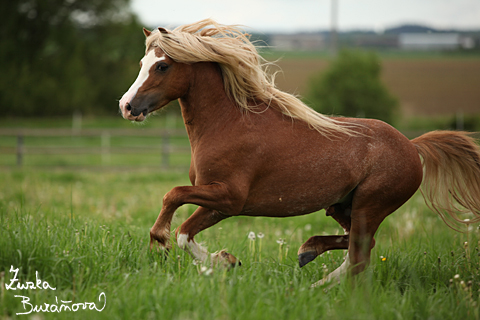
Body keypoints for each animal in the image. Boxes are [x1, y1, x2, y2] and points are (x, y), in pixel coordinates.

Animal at [117, 18, 480, 286]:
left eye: (162, 66)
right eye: (142, 62)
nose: (127, 106)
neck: (228, 124)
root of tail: (412, 145)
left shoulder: (229, 197)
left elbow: (173, 199)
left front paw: (166, 241)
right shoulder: (220, 204)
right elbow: (185, 231)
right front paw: (226, 261)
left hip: (371, 205)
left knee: (359, 256)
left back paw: (315, 285)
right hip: (342, 205)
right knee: (358, 246)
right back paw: (309, 252)